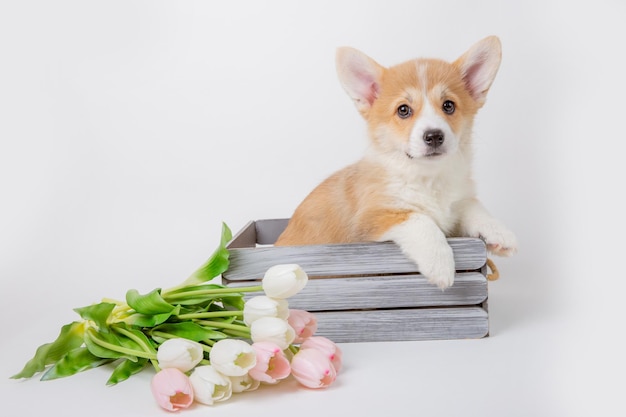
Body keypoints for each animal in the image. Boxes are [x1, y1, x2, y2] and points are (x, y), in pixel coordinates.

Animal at [276, 35, 516, 288]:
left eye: (448, 105)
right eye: (403, 110)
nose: (434, 136)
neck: (428, 178)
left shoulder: (456, 205)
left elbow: (472, 206)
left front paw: (499, 232)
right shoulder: (372, 218)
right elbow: (420, 219)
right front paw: (440, 263)